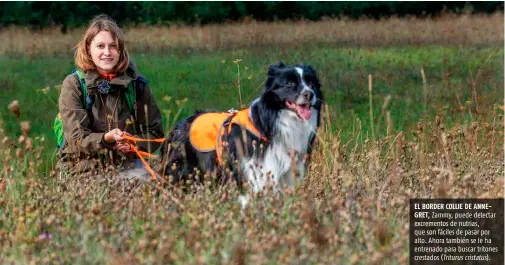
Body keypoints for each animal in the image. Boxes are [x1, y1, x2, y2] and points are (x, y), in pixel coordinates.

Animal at [161, 63, 322, 193]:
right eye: (289, 83)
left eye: (311, 83)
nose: (310, 94)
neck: (271, 121)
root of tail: (179, 125)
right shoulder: (256, 170)